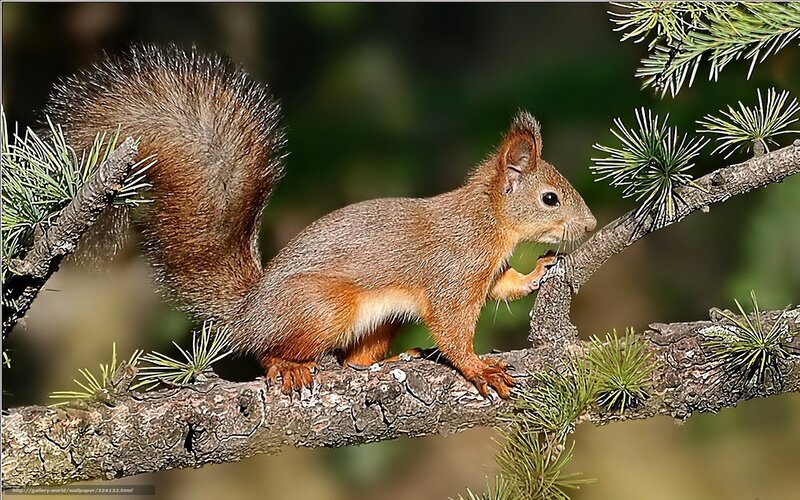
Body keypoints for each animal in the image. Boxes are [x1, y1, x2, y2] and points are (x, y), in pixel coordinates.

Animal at [46, 45, 596, 398]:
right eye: (550, 198)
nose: (590, 226)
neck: (488, 221)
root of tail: (249, 311)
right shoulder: (453, 277)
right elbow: (453, 330)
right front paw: (479, 368)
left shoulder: (485, 273)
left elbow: (504, 285)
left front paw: (540, 269)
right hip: (324, 307)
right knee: (268, 351)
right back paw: (288, 367)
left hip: (379, 321)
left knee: (354, 360)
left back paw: (395, 360)